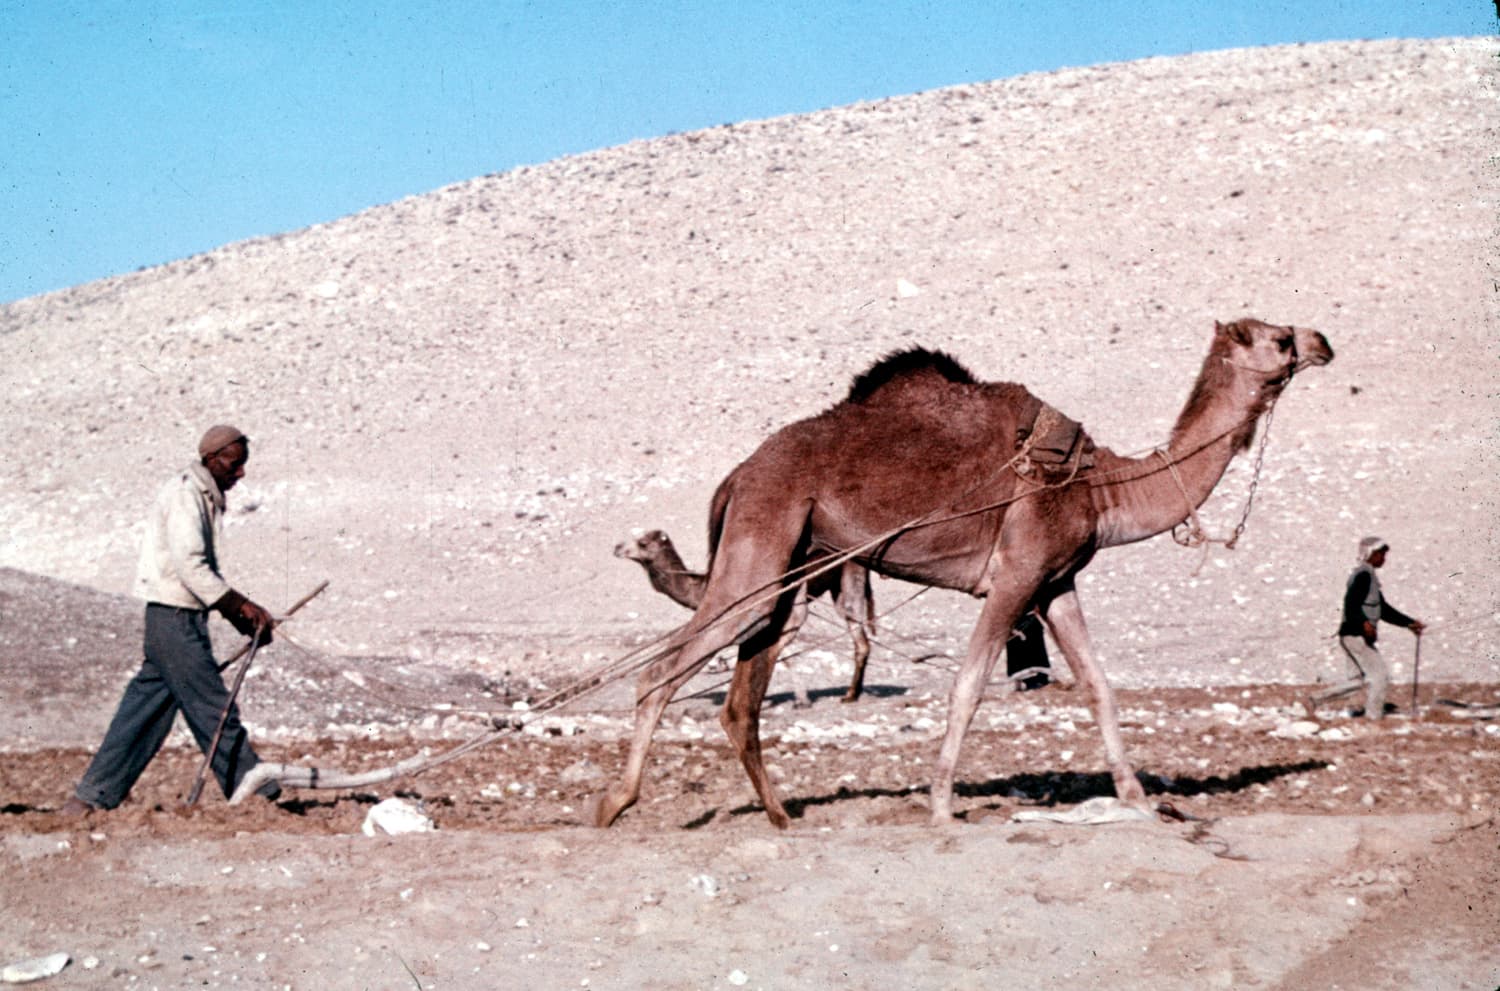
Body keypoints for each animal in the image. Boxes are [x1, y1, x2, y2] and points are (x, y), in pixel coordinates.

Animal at [614, 529, 877, 703]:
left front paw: (801, 700)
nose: (617, 547)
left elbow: (785, 654)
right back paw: (853, 693)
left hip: (850, 573)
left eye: (643, 543)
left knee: (854, 619)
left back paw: (850, 695)